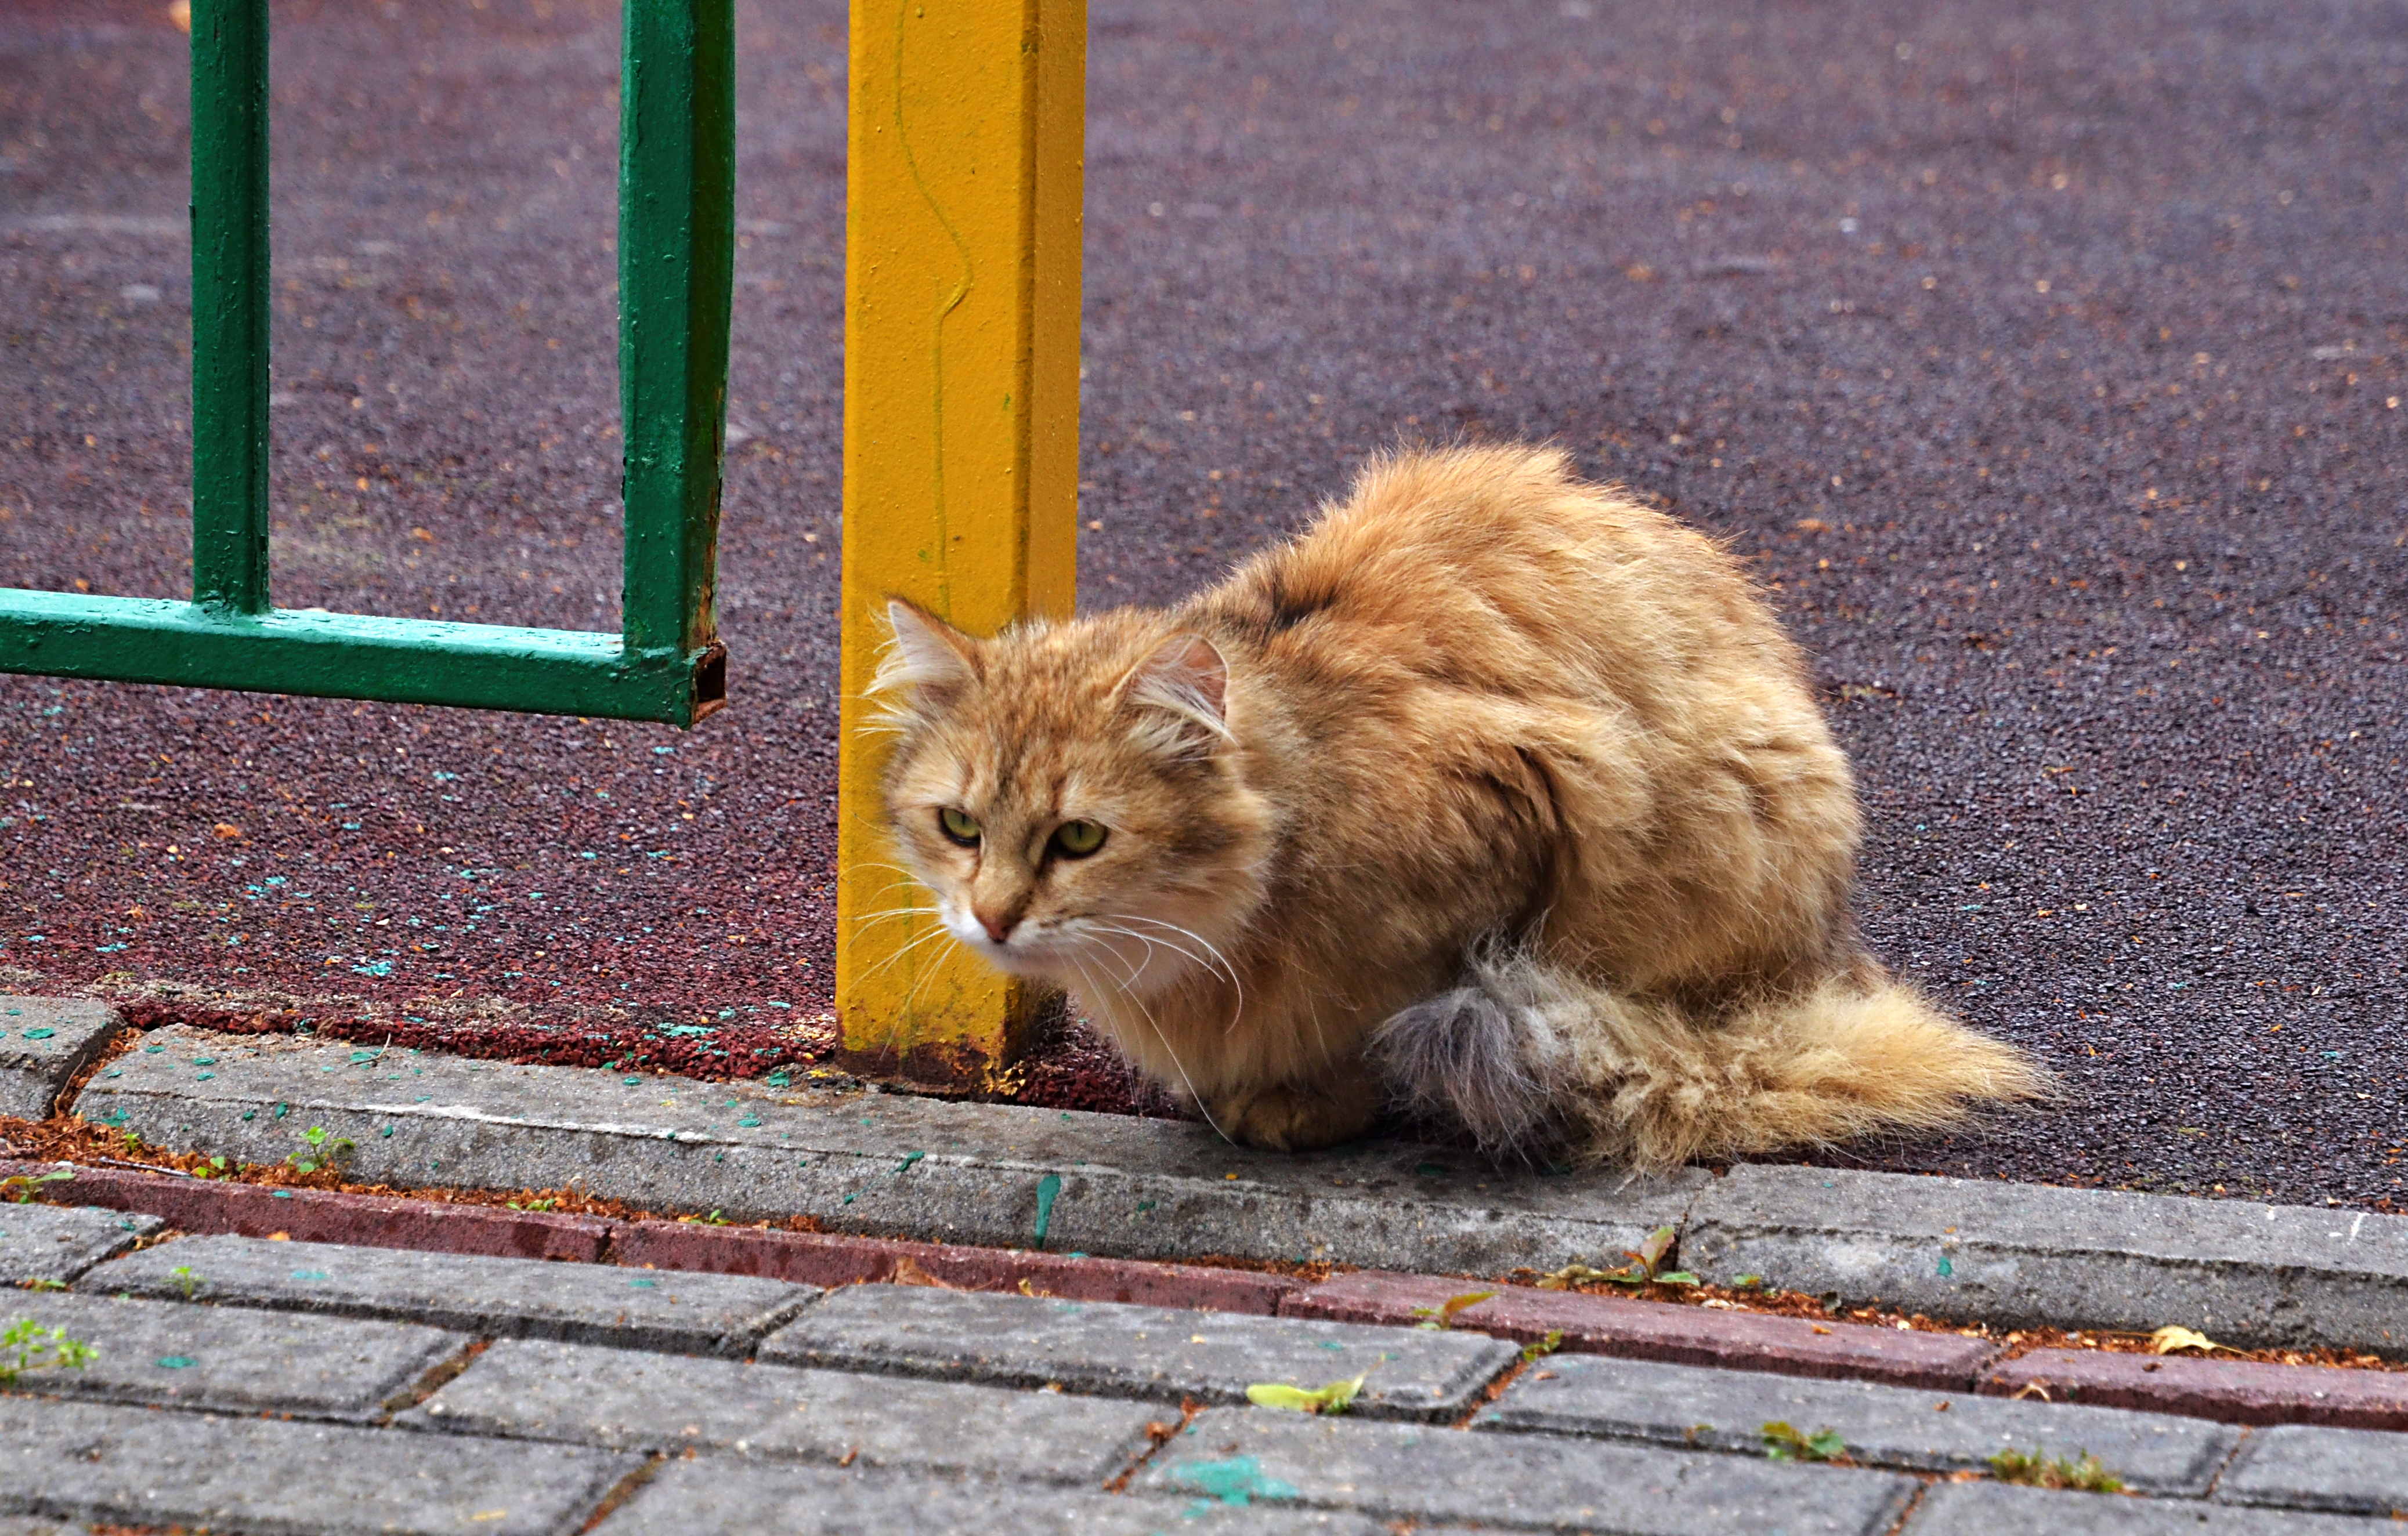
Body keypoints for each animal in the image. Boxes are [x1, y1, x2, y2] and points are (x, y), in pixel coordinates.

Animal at [876, 452, 2042, 1175]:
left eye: (1079, 838)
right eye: (960, 828)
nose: (993, 917)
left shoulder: (1526, 806)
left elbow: (1381, 1012)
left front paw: (1311, 1102)